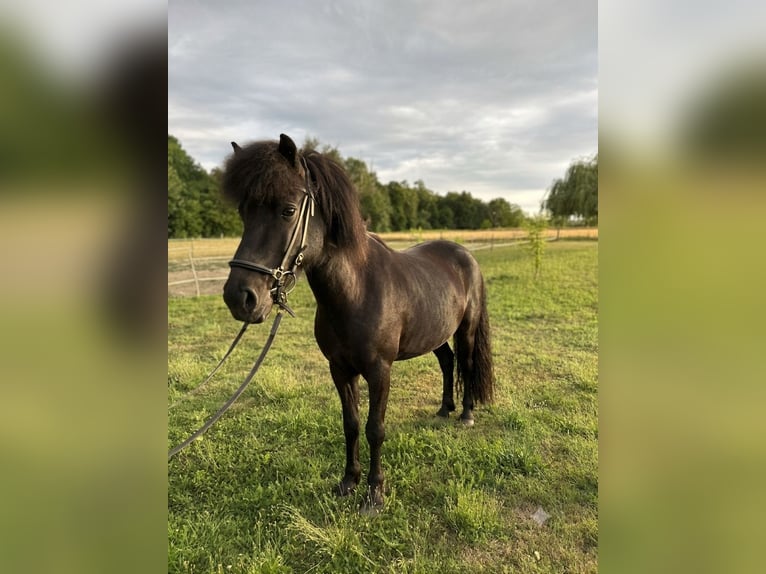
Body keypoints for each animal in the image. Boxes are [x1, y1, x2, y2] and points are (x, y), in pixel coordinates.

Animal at [221, 134, 495, 510]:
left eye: (288, 210)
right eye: (243, 212)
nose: (240, 298)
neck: (357, 291)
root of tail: (464, 254)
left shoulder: (380, 371)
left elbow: (374, 429)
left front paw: (374, 493)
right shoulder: (340, 369)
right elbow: (350, 424)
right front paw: (348, 482)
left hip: (466, 329)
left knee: (466, 365)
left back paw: (466, 414)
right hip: (435, 335)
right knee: (447, 362)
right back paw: (444, 409)